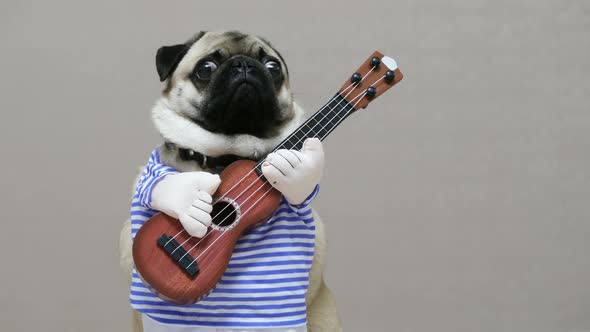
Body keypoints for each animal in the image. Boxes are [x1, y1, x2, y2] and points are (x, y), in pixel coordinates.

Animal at [119, 31, 342, 332]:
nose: (244, 65)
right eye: (206, 68)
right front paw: (189, 202)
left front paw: (297, 171)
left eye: (273, 67)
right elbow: (158, 183)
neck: (229, 154)